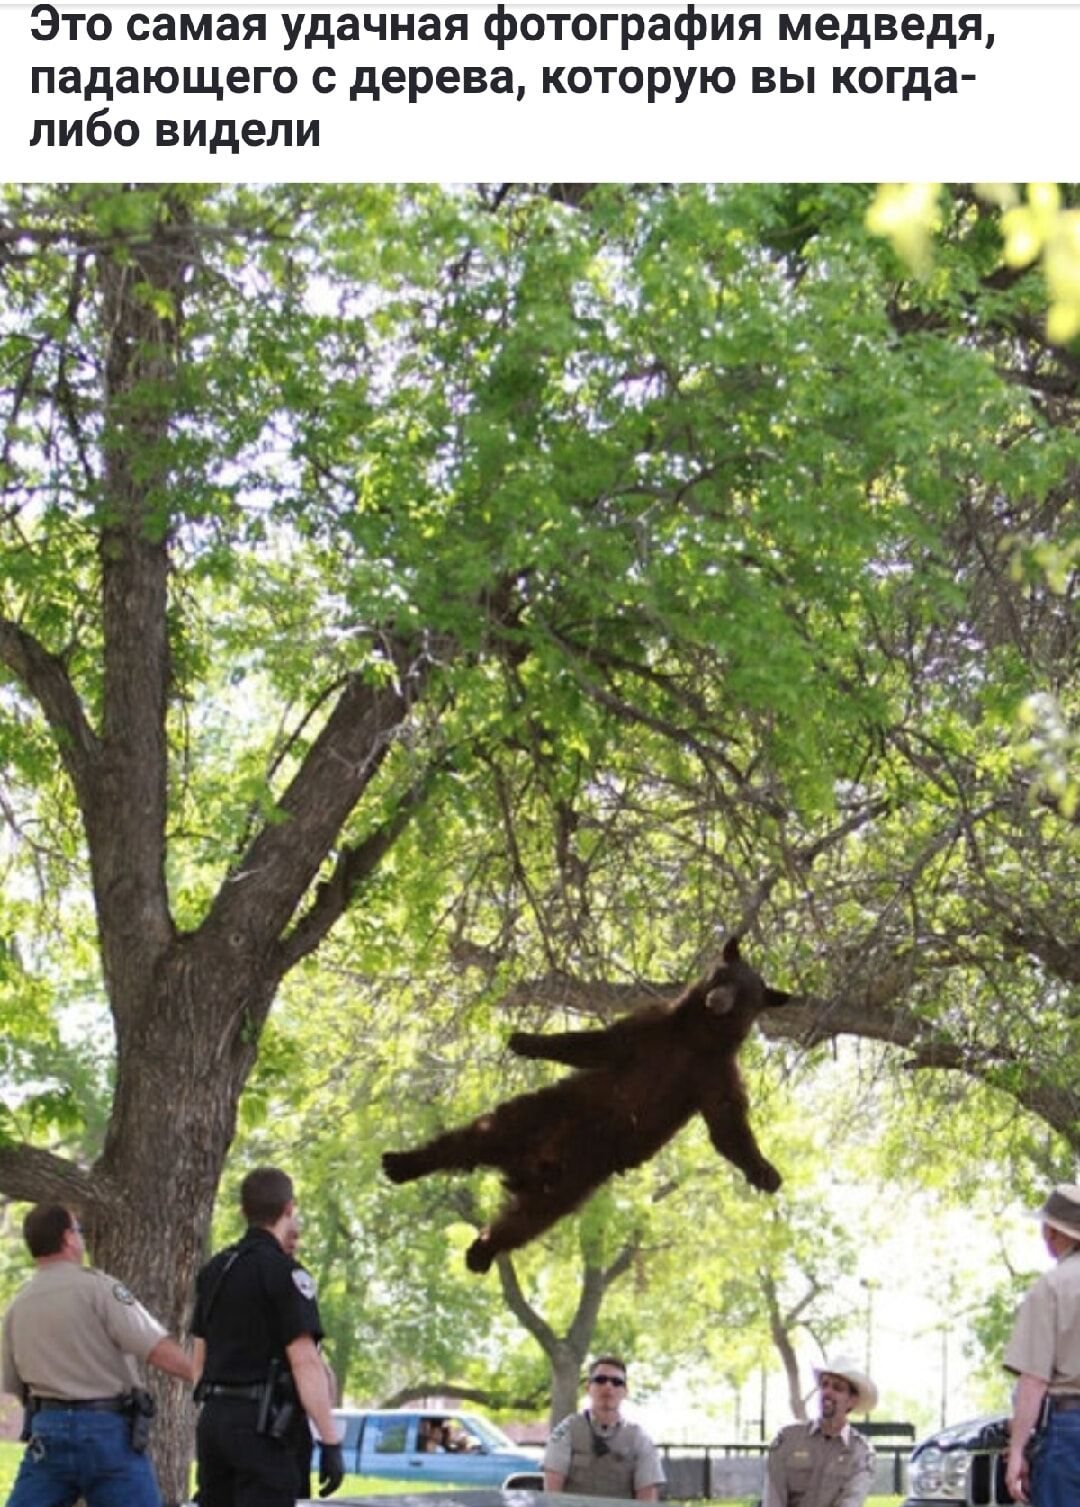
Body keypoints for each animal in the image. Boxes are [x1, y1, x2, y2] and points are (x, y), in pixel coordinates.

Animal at [384, 940, 789, 1271]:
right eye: (722, 975)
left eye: (745, 995)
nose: (718, 998)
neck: (697, 1036)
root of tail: (528, 1167)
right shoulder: (652, 1030)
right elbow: (596, 1044)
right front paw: (525, 1040)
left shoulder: (714, 1073)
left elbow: (727, 1123)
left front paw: (764, 1172)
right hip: (541, 1114)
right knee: (470, 1139)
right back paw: (403, 1162)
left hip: (576, 1179)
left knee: (527, 1220)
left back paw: (482, 1251)